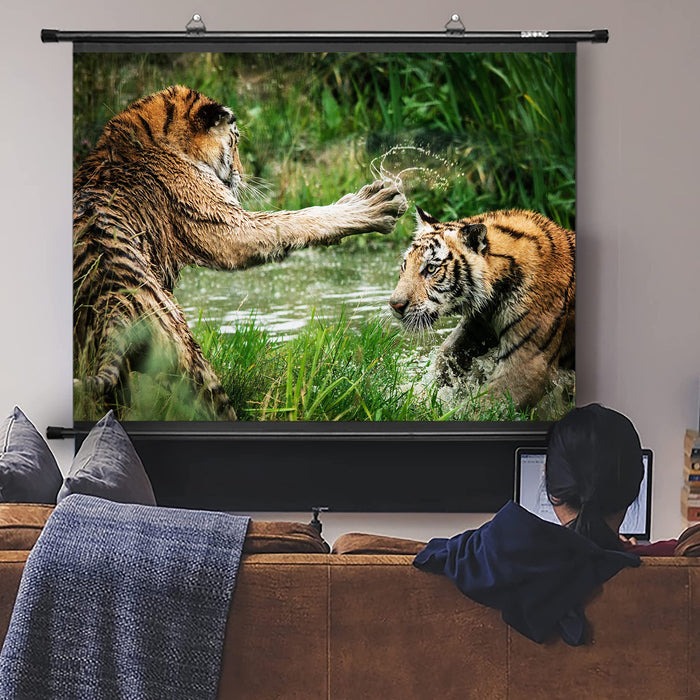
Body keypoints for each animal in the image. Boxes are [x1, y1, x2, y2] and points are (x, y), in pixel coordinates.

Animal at [73, 85, 407, 420]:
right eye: (234, 143)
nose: (243, 175)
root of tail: (111, 305)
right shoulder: (229, 227)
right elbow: (295, 219)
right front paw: (373, 205)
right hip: (185, 354)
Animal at [389, 207, 575, 411]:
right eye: (405, 265)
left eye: (431, 268)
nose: (395, 305)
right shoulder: (477, 326)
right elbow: (445, 357)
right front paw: (411, 396)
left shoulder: (529, 364)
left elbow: (479, 407)